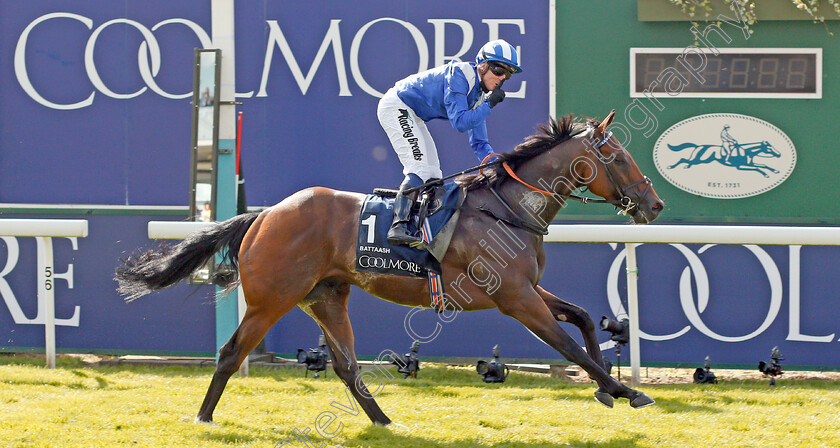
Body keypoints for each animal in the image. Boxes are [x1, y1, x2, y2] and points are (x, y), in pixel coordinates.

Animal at [115, 110, 664, 426]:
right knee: (231, 354)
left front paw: (609, 389)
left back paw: (382, 420)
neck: (507, 209)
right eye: (618, 157)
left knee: (345, 366)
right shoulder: (514, 298)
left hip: (326, 296)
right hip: (273, 298)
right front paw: (625, 390)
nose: (653, 204)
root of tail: (265, 214)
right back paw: (204, 418)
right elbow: (567, 343)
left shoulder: (527, 288)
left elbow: (585, 319)